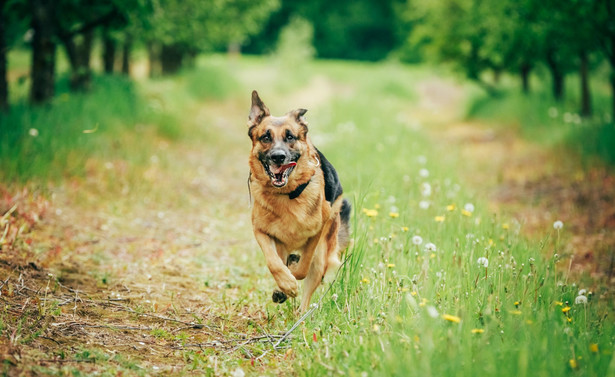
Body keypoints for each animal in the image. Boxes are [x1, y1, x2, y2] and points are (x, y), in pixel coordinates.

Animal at [247, 91, 352, 312]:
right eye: (265, 137)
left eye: (290, 137)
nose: (278, 157)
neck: (287, 194)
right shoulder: (261, 231)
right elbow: (274, 263)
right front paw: (285, 284)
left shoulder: (316, 235)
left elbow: (302, 269)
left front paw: (288, 283)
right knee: (283, 260)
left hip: (322, 254)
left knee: (308, 288)